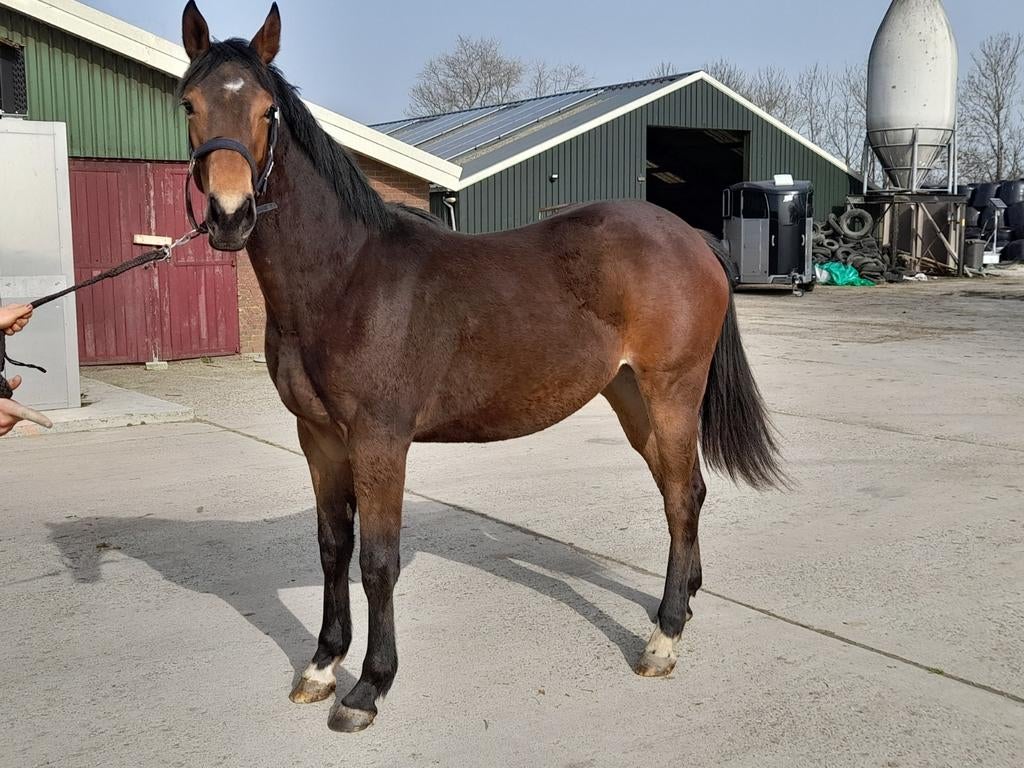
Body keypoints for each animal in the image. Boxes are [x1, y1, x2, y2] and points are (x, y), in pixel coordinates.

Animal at [177, 1, 784, 732]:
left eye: (267, 111)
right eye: (189, 104)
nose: (229, 215)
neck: (346, 279)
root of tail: (690, 235)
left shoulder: (380, 441)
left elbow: (377, 561)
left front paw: (368, 687)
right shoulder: (319, 439)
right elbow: (332, 548)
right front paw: (322, 666)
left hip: (672, 392)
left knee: (683, 496)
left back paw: (663, 638)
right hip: (631, 396)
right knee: (680, 492)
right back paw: (683, 605)